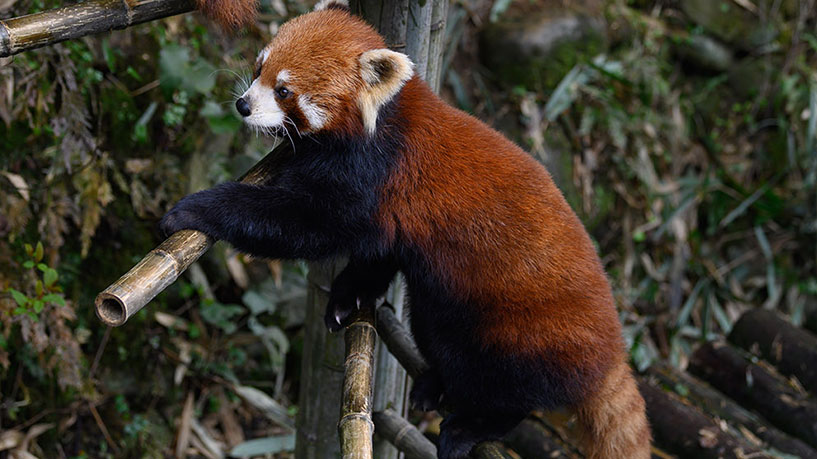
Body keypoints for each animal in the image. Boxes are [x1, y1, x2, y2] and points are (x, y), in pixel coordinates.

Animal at [159, 1, 652, 458]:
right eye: (259, 67)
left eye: (284, 91)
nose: (243, 105)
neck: (383, 121)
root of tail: (612, 354)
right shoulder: (390, 217)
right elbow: (375, 256)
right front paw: (348, 298)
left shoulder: (372, 175)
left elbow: (306, 226)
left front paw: (195, 208)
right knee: (435, 334)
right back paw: (435, 384)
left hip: (521, 336)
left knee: (506, 390)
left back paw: (472, 424)